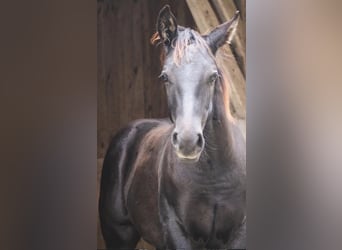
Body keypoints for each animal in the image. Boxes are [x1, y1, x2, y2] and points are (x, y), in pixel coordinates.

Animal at [99, 5, 246, 250]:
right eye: (165, 76)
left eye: (213, 76)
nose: (188, 142)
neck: (214, 178)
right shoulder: (178, 233)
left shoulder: (238, 235)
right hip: (119, 235)